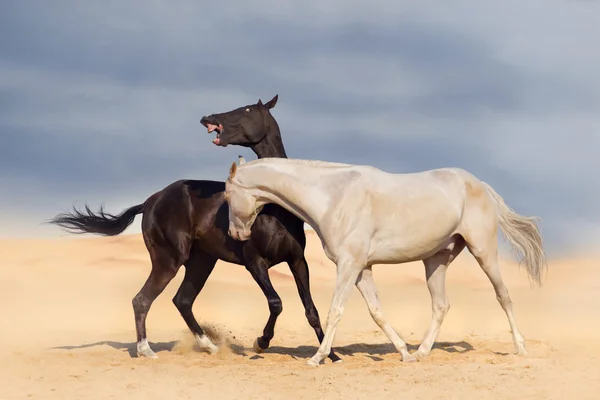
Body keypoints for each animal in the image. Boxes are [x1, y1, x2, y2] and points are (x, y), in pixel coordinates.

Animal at [49, 96, 340, 362]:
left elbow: (311, 310)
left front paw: (331, 355)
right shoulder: (255, 262)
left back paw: (209, 346)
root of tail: (150, 201)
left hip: (201, 262)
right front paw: (261, 343)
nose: (208, 118)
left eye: (247, 109)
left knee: (182, 300)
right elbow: (276, 303)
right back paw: (146, 350)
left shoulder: (297, 261)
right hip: (169, 260)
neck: (271, 208)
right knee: (142, 300)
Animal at [223, 155, 548, 366]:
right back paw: (422, 352)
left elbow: (335, 311)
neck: (332, 197)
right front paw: (404, 353)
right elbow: (376, 311)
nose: (235, 234)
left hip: (483, 252)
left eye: (226, 195)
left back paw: (520, 348)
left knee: (503, 296)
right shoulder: (361, 269)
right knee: (441, 305)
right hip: (436, 261)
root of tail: (479, 183)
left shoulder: (348, 265)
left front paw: (318, 358)